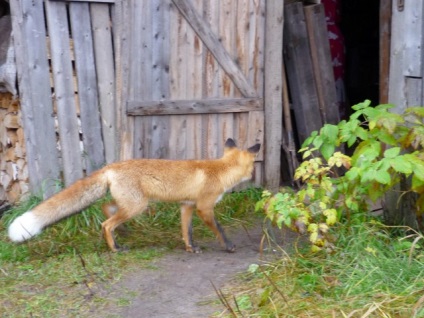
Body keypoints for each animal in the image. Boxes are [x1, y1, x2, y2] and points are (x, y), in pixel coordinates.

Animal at [8, 139, 260, 253]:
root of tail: (111, 166)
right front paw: (228, 246)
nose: (254, 174)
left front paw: (191, 248)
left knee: (107, 209)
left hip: (130, 203)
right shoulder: (204, 207)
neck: (221, 170)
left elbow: (186, 231)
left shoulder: (186, 206)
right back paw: (115, 247)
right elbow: (219, 229)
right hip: (138, 205)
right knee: (107, 223)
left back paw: (122, 233)